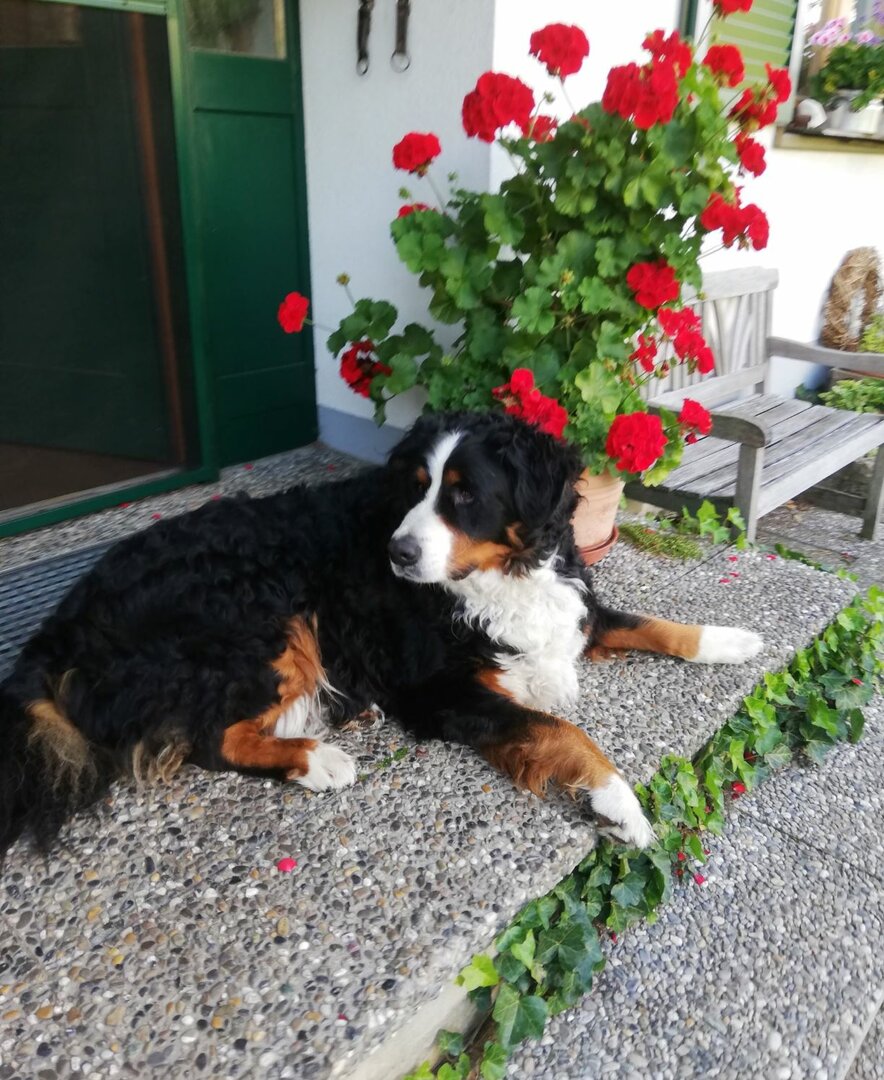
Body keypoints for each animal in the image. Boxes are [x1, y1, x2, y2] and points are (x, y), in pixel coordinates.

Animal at [0, 408, 764, 855]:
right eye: (416, 485)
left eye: (464, 493)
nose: (398, 553)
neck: (500, 578)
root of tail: (63, 623)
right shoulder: (441, 690)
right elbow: (562, 731)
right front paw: (617, 802)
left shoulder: (569, 604)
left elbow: (649, 623)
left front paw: (733, 640)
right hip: (262, 617)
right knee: (211, 738)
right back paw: (317, 759)